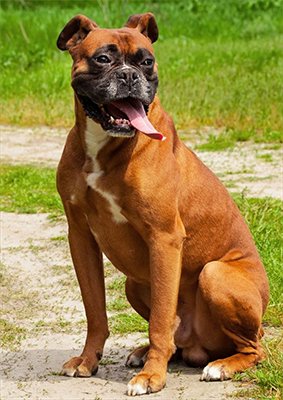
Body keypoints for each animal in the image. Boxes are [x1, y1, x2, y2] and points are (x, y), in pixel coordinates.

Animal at [56, 13, 270, 396]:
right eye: (103, 59)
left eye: (147, 62)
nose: (130, 76)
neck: (105, 145)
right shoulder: (80, 236)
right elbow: (95, 310)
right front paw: (88, 360)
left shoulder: (164, 238)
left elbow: (158, 320)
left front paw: (152, 378)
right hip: (134, 282)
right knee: (175, 339)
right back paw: (148, 353)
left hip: (215, 274)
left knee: (252, 347)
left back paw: (221, 366)